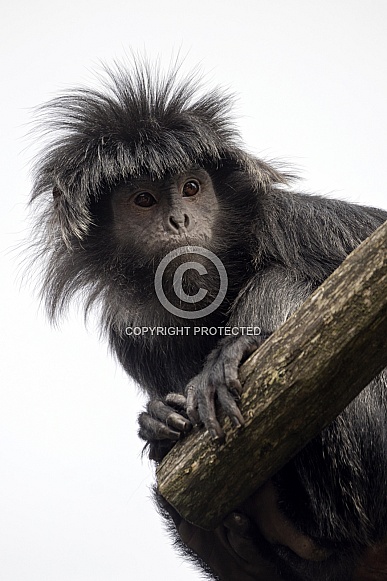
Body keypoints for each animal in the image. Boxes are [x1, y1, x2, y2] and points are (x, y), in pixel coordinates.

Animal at [31, 61, 387, 576]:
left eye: (192, 189)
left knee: (282, 281)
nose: (180, 220)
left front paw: (236, 350)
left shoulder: (296, 223)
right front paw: (157, 418)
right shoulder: (130, 331)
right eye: (144, 200)